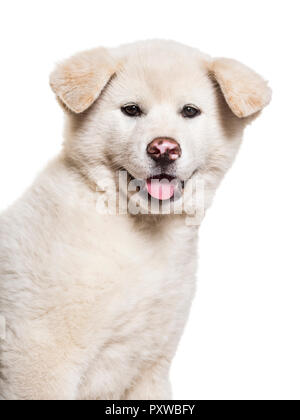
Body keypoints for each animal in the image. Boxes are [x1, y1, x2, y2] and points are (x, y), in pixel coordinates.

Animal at [0, 40, 272, 400]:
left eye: (189, 111)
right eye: (131, 110)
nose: (164, 148)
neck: (141, 230)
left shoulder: (149, 367)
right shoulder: (39, 358)